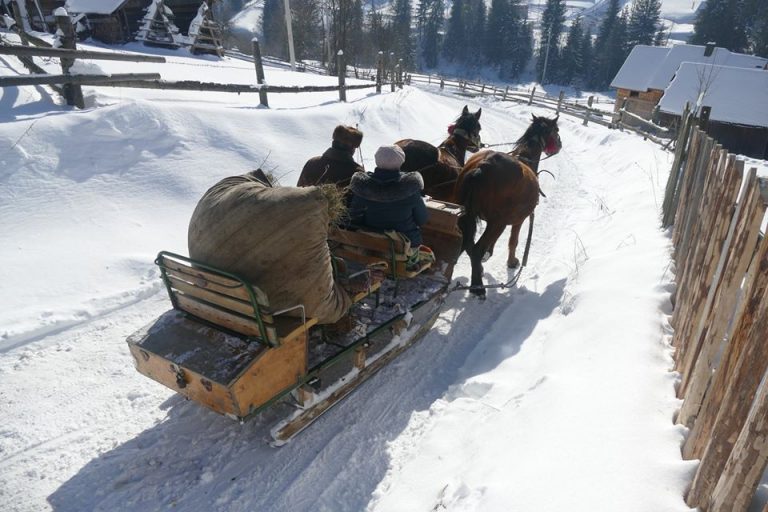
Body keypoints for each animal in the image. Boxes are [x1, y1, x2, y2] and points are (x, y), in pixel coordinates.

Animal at [452, 113, 560, 296]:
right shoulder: (517, 220)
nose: (559, 145)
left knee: (466, 244)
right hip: (497, 222)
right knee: (476, 249)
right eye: (557, 130)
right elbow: (513, 241)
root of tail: (483, 166)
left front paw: (487, 257)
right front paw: (512, 261)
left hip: (465, 214)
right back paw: (477, 287)